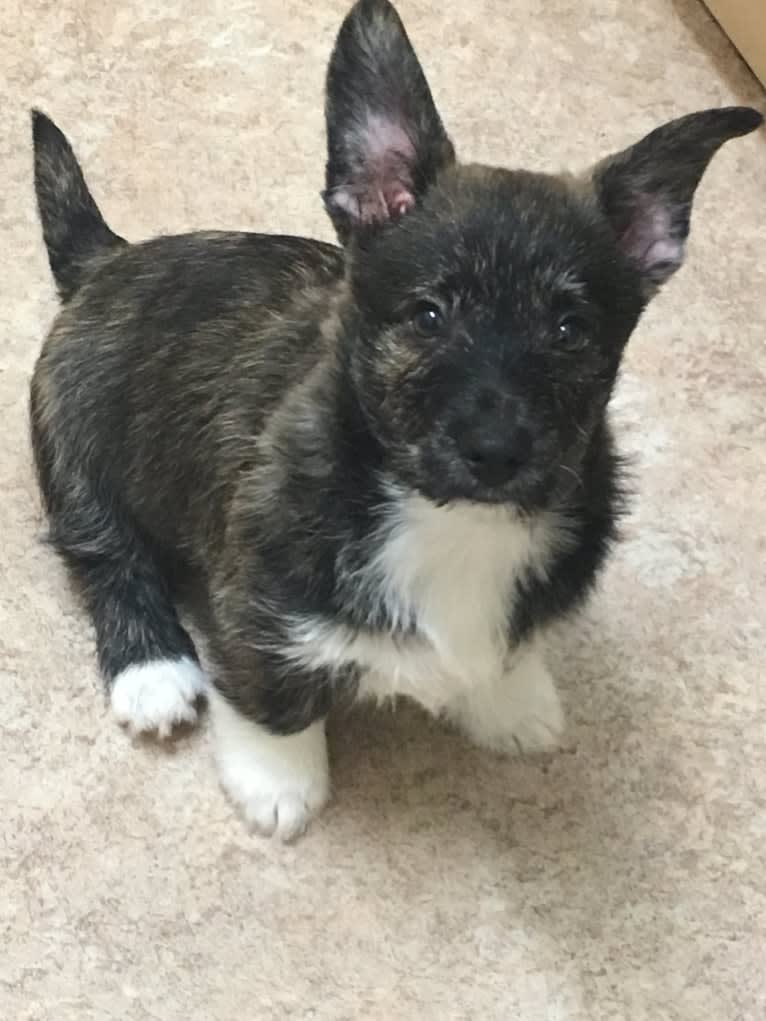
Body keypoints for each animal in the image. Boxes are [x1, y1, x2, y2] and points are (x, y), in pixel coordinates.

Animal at [28, 0, 763, 837]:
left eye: (570, 329)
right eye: (428, 315)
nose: (496, 451)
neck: (446, 517)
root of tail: (105, 259)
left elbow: (508, 651)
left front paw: (511, 702)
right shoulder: (258, 603)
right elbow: (270, 691)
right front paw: (278, 781)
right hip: (75, 457)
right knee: (107, 557)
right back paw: (152, 673)